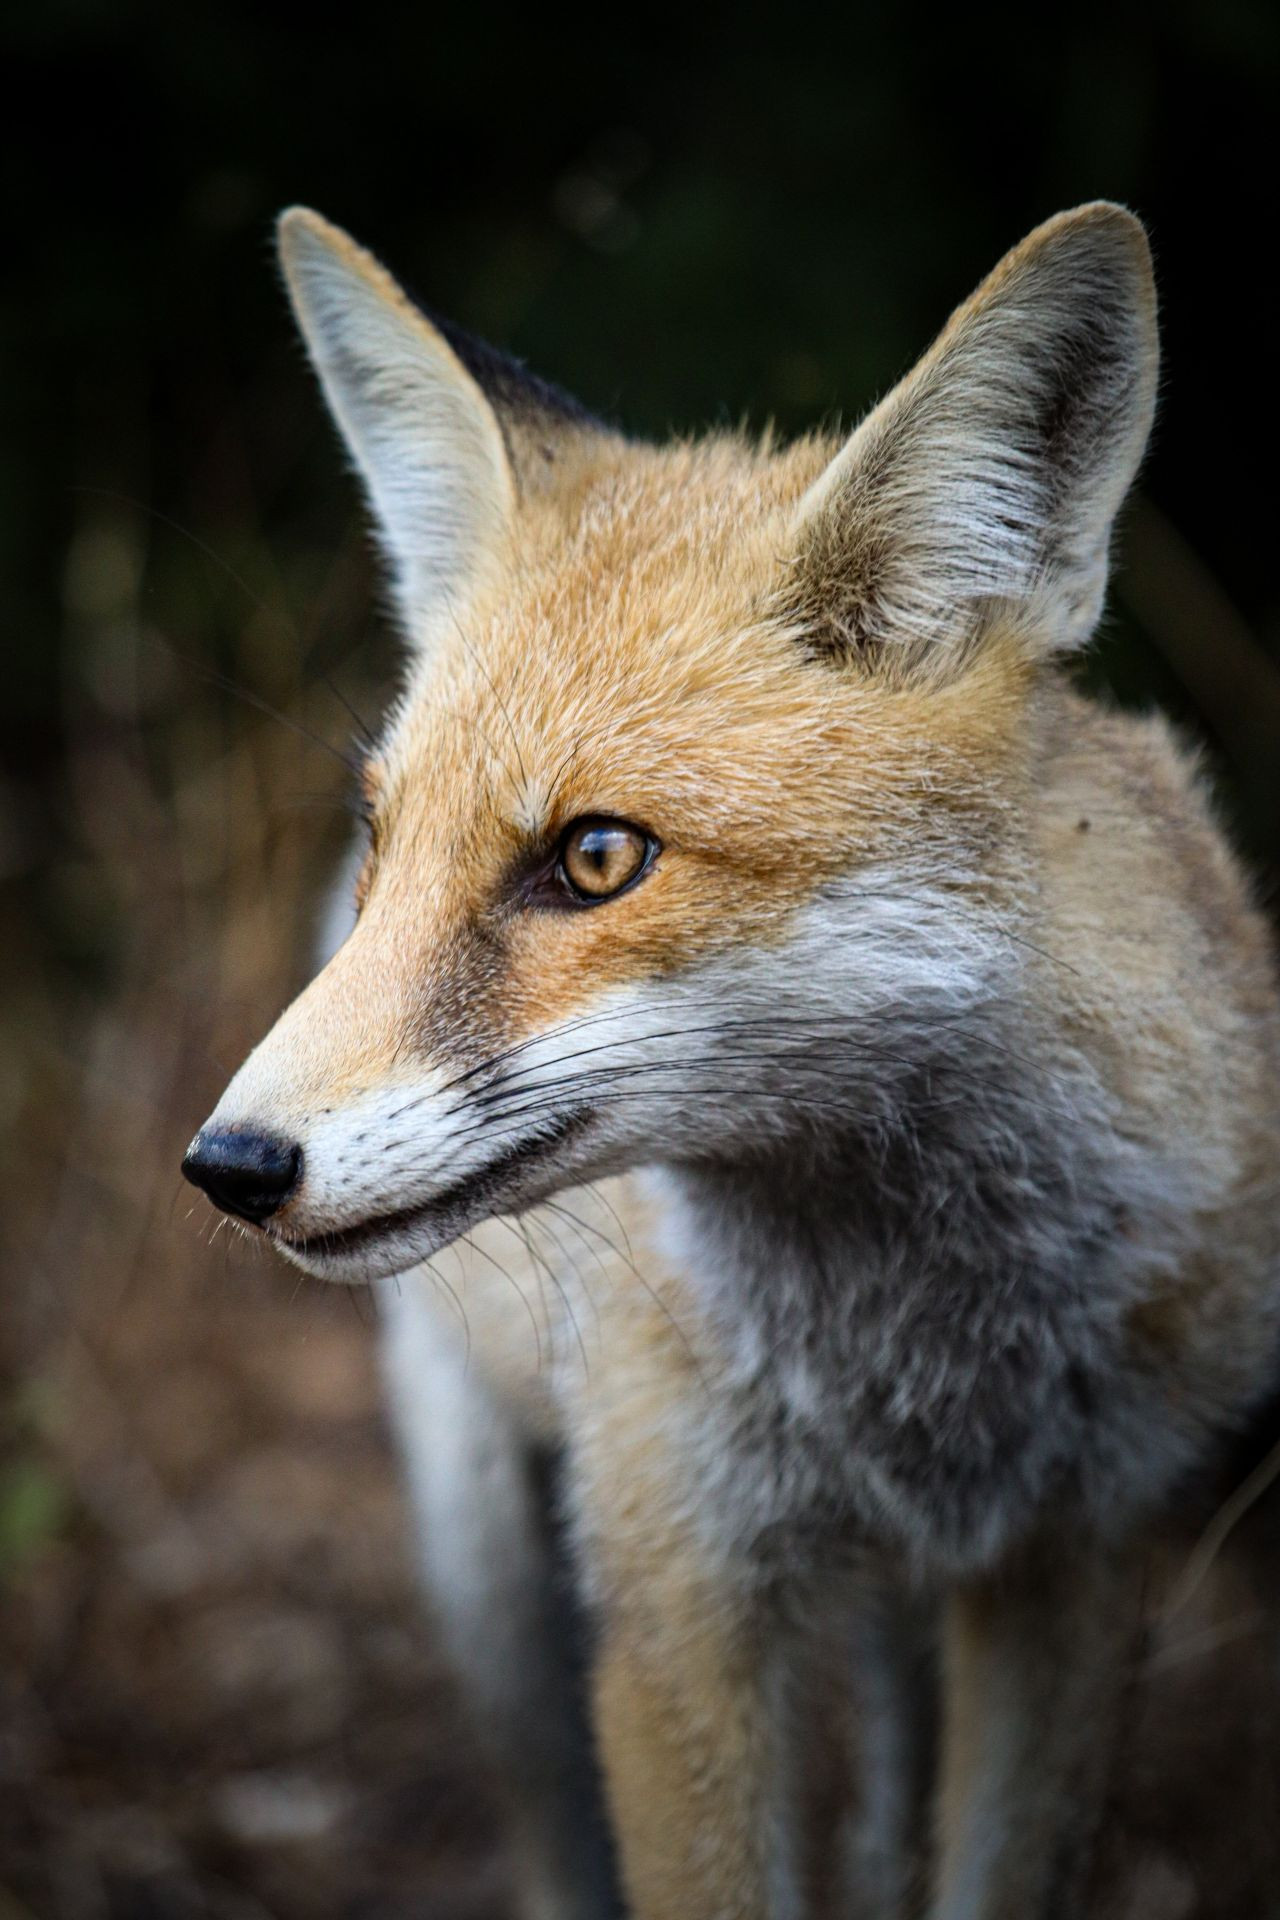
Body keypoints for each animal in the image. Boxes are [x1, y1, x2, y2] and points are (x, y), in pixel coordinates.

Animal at [182, 210, 1280, 1920]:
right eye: (385, 840)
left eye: (597, 857)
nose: (228, 1167)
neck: (921, 1357)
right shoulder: (677, 1593)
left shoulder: (1077, 1557)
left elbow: (994, 1865)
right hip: (491, 1557)